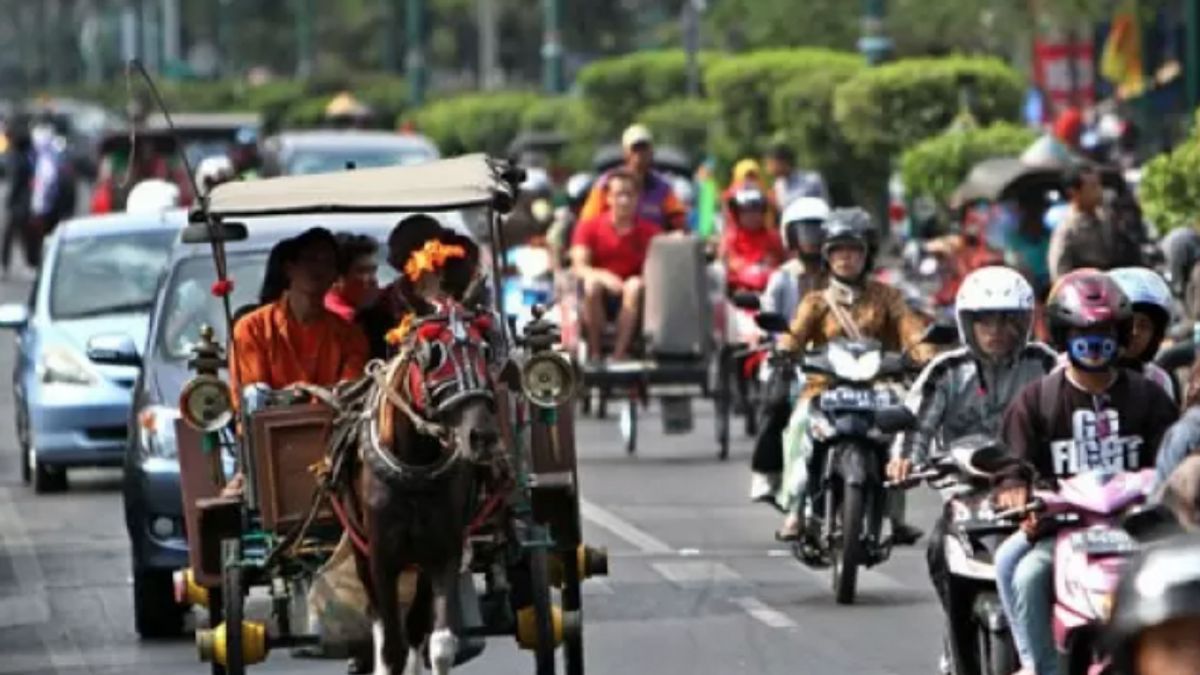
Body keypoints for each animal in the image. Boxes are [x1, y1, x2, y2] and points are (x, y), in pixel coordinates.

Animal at [350, 305, 511, 672]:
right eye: (433, 356)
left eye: (485, 351)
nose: (482, 437)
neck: (415, 471)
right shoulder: (381, 556)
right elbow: (391, 646)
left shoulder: (443, 552)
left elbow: (439, 644)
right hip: (359, 549)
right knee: (379, 619)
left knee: (414, 628)